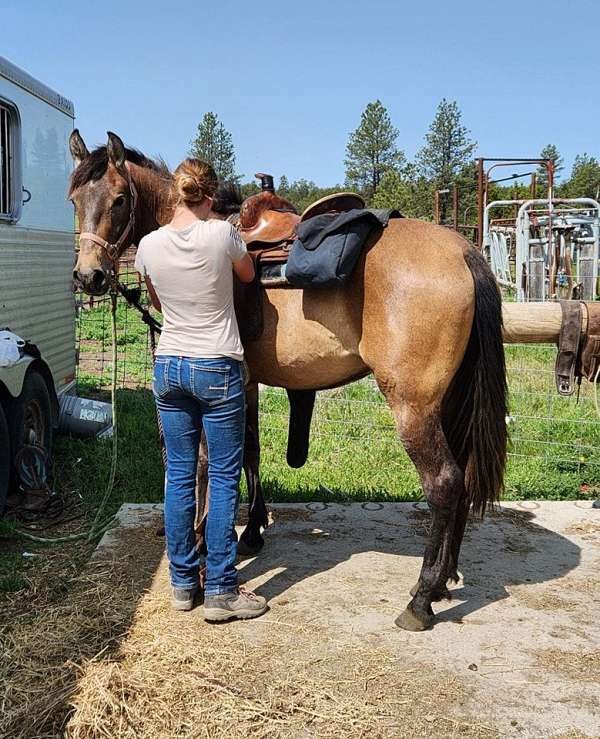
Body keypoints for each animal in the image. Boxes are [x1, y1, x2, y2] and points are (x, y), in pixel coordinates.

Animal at [69, 130, 507, 631]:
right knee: (463, 477)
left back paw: (421, 599)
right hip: (449, 400)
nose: (89, 275)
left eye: (120, 199)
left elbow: (222, 459)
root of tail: (464, 251)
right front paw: (253, 530)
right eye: (74, 199)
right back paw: (446, 577)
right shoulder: (247, 380)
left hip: (413, 404)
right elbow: (250, 450)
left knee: (445, 483)